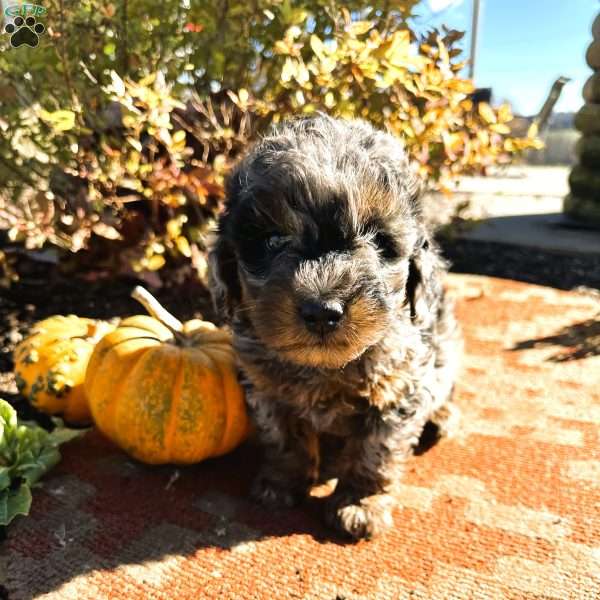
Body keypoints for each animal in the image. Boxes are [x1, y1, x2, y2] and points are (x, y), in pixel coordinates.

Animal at [210, 116, 460, 540]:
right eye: (272, 240)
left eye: (378, 241)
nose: (322, 311)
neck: (325, 368)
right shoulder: (265, 385)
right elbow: (283, 437)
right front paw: (282, 483)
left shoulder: (397, 387)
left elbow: (375, 452)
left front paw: (360, 503)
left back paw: (441, 417)